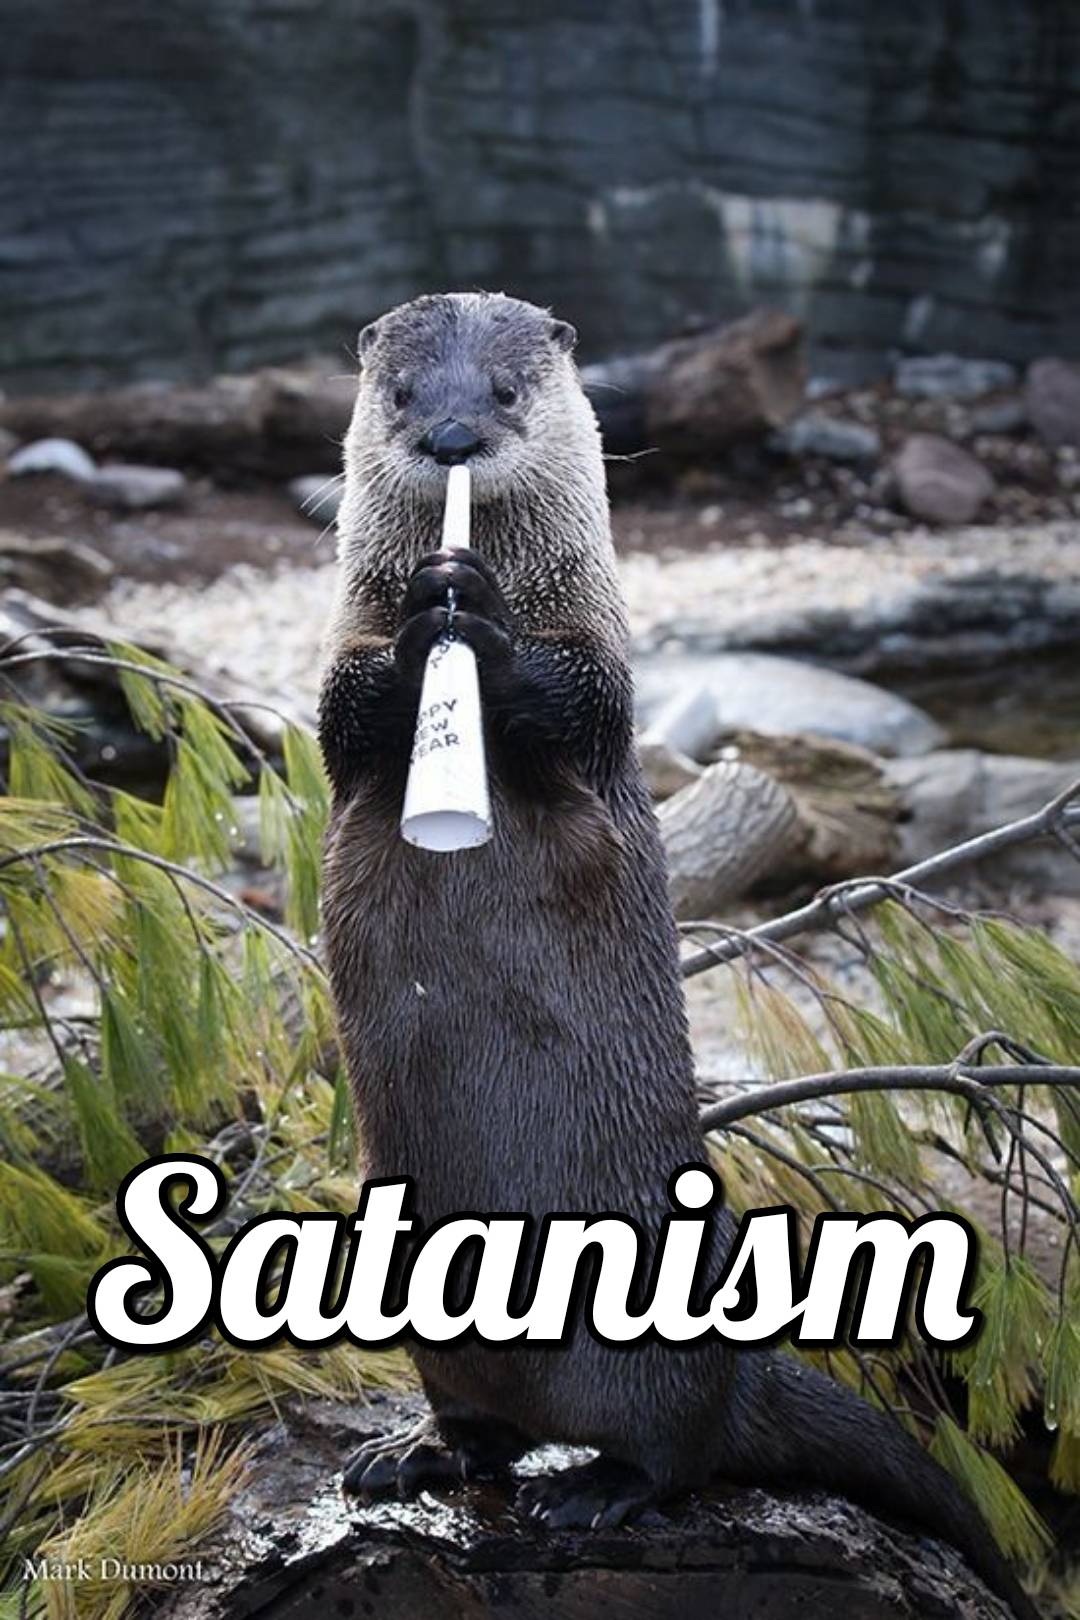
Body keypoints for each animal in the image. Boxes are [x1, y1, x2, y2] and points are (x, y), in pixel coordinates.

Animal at [318, 291, 1035, 1619]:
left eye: (506, 389)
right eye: (400, 393)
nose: (450, 437)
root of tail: (742, 1365)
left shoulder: (604, 673)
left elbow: (573, 699)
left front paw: (475, 620)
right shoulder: (339, 674)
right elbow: (349, 711)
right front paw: (423, 631)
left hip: (662, 1367)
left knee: (680, 1452)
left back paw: (596, 1490)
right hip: (442, 1341)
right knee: (489, 1432)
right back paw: (415, 1455)